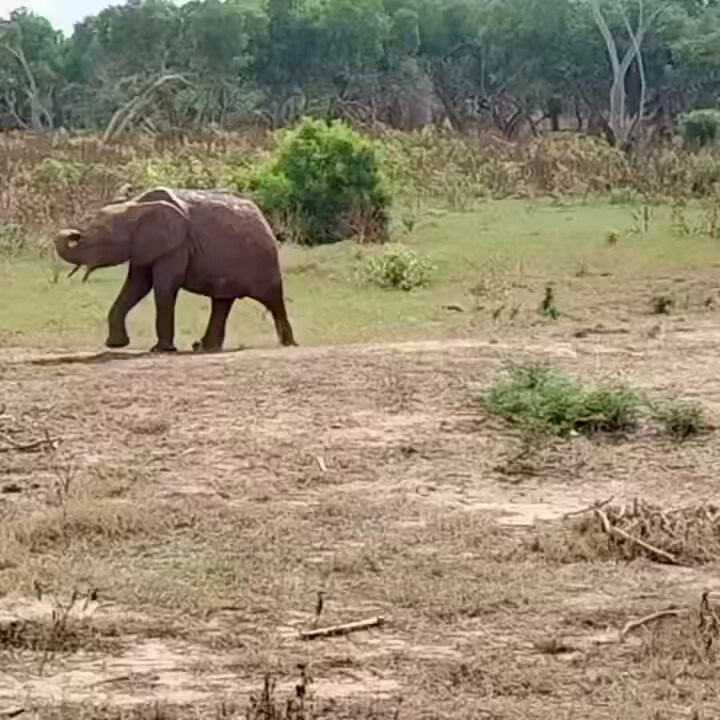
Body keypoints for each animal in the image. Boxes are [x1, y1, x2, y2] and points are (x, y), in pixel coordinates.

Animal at [54, 187, 296, 353]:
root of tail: (262, 217)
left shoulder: (177, 245)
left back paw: (288, 345)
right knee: (222, 301)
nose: (74, 233)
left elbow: (163, 286)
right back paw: (203, 347)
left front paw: (161, 350)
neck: (136, 206)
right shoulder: (146, 247)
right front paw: (115, 345)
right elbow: (137, 286)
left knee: (273, 299)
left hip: (263, 259)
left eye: (102, 243)